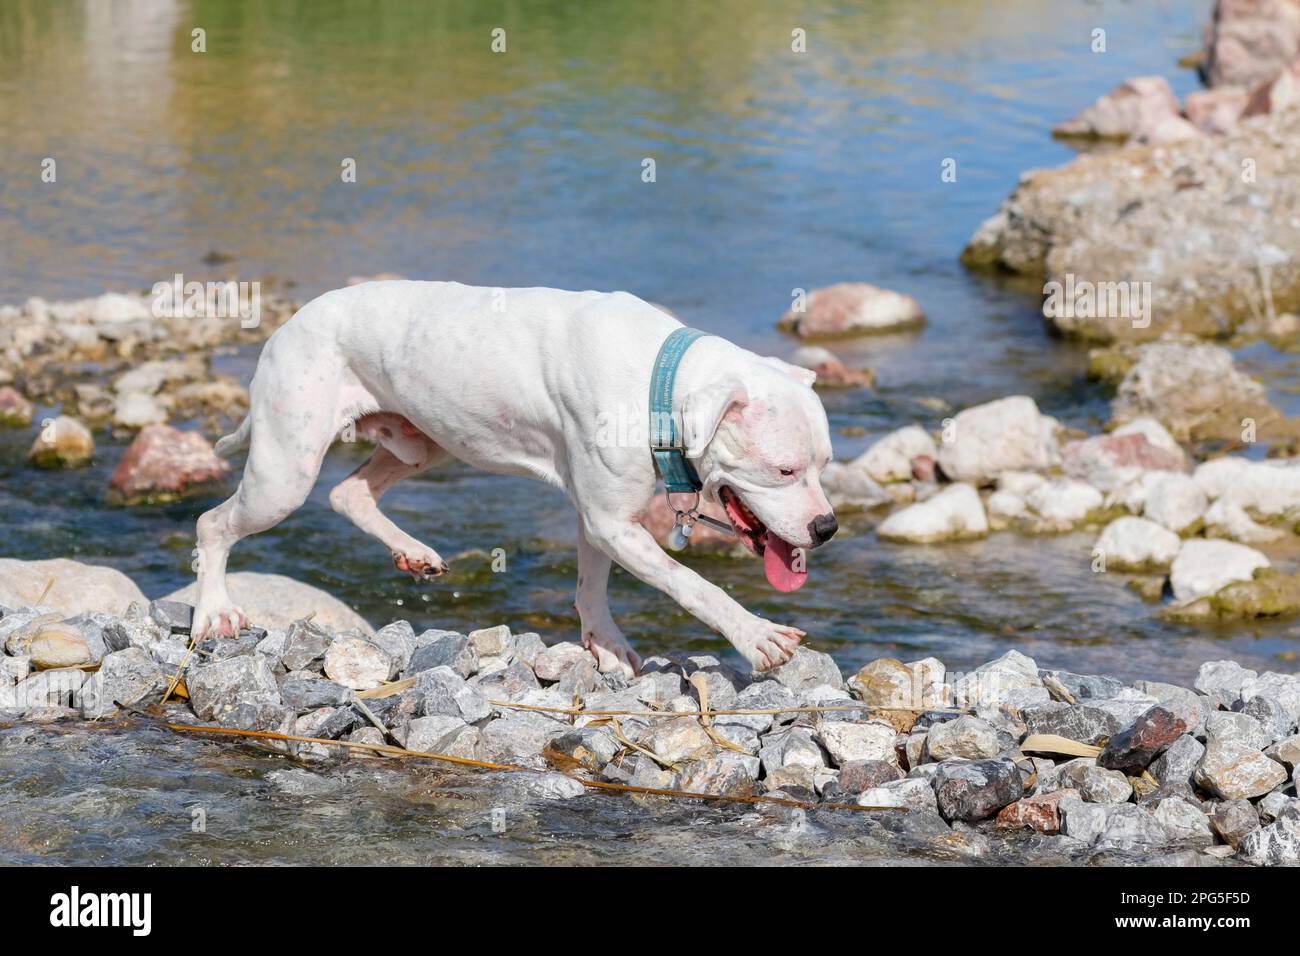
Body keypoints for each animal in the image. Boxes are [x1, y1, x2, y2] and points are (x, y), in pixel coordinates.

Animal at [196, 280, 837, 676]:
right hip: (284, 473)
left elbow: (591, 585)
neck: (660, 384)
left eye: (825, 464)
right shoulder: (612, 522)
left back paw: (413, 552)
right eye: (784, 469)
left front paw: (606, 643)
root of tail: (287, 326)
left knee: (347, 491)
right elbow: (692, 584)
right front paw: (756, 636)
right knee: (213, 523)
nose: (827, 528)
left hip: (423, 442)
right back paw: (213, 612)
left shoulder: (602, 520)